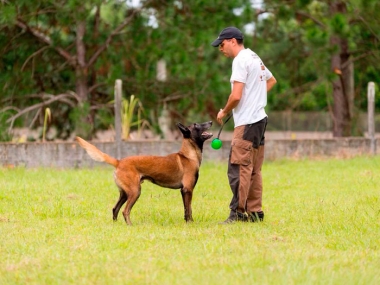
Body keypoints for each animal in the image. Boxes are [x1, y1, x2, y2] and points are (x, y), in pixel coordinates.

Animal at [76, 121, 214, 225]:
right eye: (196, 125)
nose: (211, 121)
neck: (188, 155)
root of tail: (119, 162)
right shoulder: (187, 189)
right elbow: (188, 209)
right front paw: (190, 223)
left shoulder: (184, 191)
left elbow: (187, 209)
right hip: (135, 191)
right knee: (125, 211)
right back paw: (130, 225)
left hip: (125, 193)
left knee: (115, 209)